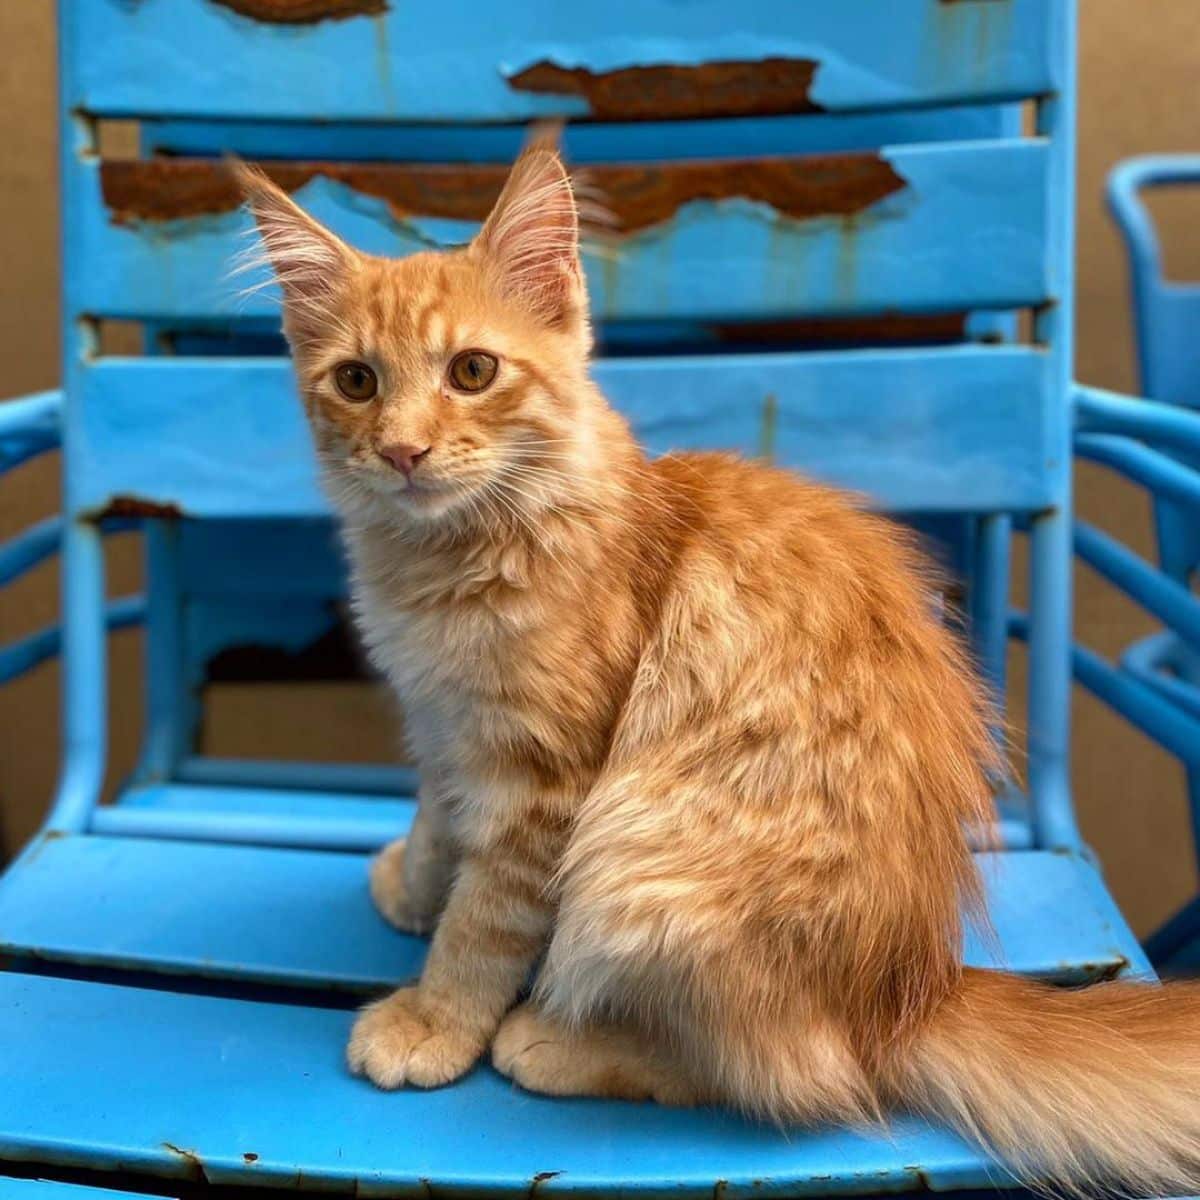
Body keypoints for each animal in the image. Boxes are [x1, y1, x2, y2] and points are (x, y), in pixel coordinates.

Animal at [238, 147, 1200, 1190]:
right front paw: (410, 887)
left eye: (473, 371)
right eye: (357, 381)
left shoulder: (544, 780)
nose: (403, 450)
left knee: (790, 1078)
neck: (444, 561)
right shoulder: (446, 729)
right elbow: (435, 826)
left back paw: (557, 1042)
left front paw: (434, 1019)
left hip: (640, 863)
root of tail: (910, 994)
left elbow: (484, 923)